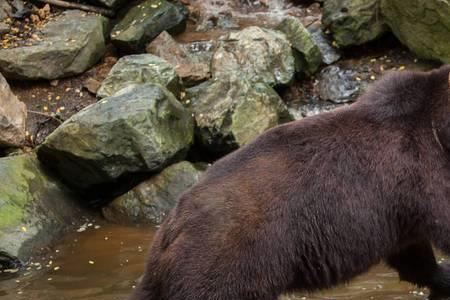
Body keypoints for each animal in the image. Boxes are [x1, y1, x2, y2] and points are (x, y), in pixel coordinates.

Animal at [131, 65, 450, 300]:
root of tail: (172, 225)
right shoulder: (423, 172)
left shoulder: (402, 210)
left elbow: (413, 256)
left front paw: (441, 278)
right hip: (228, 261)